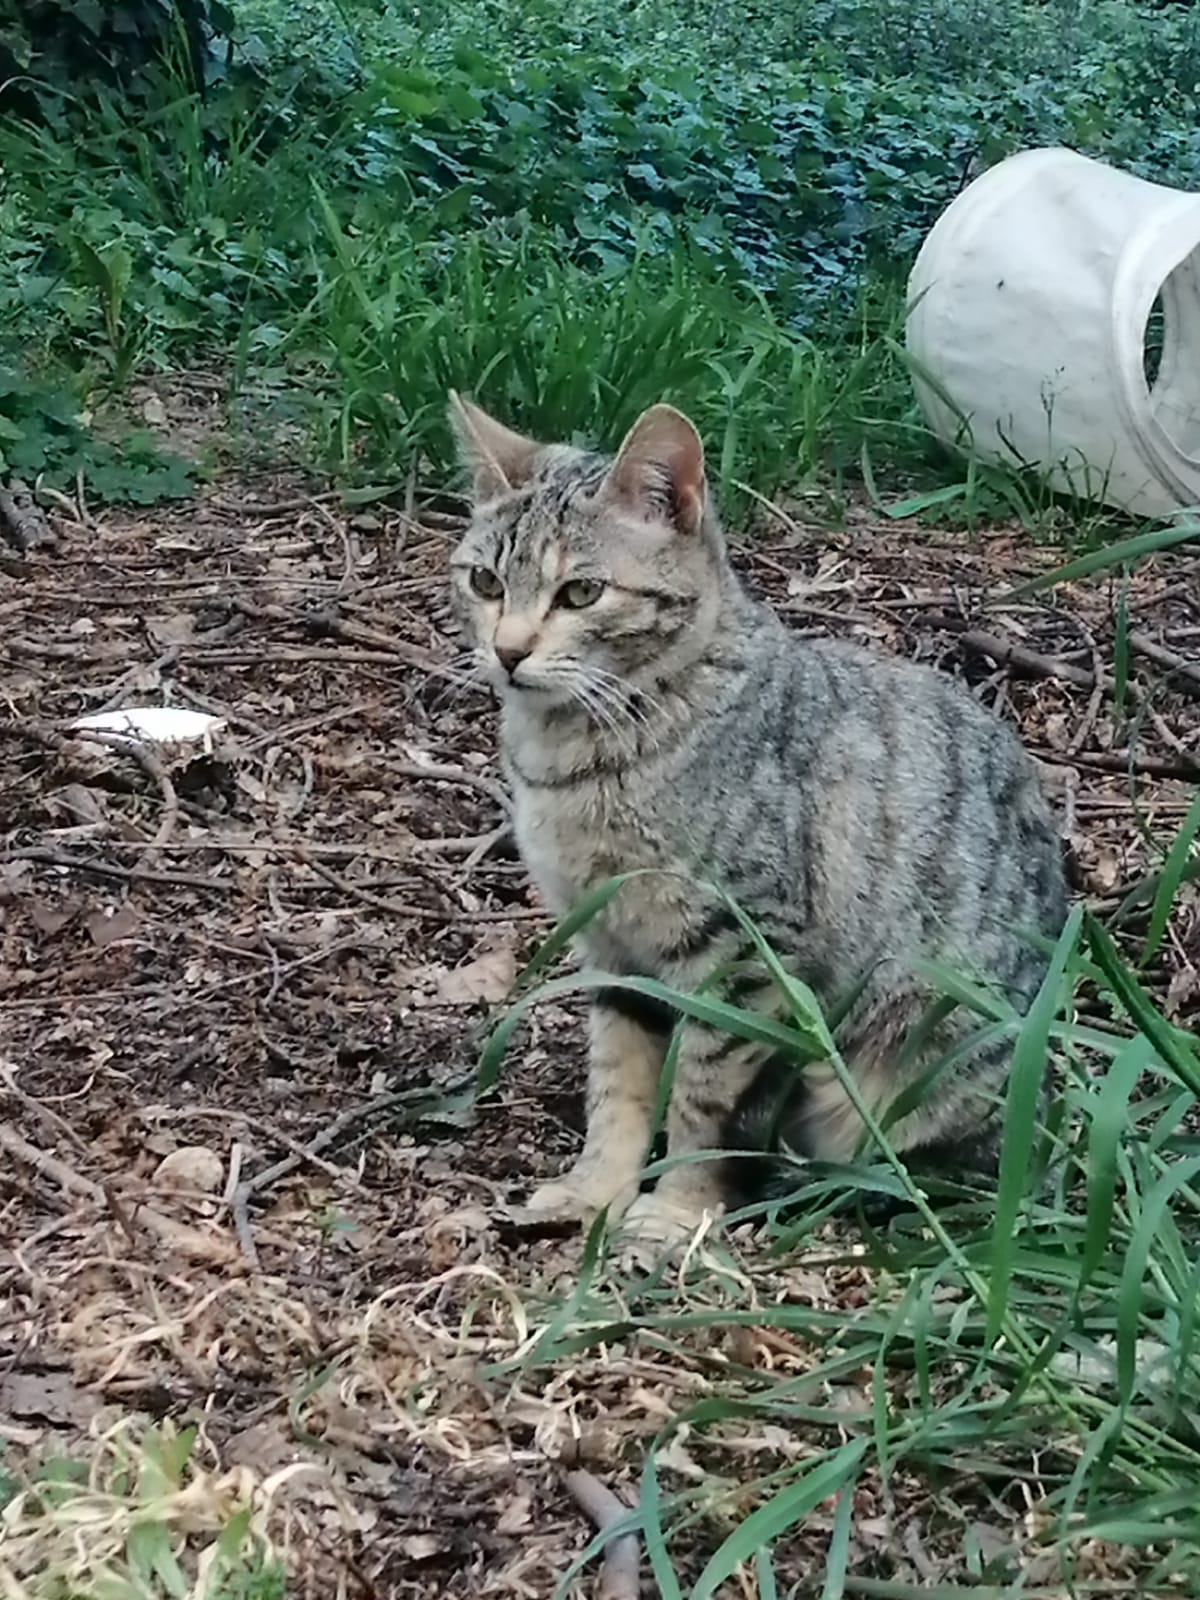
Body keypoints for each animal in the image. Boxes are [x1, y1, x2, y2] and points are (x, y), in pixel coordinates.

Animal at [448, 390, 1068, 1248]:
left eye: (580, 593)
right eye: (484, 582)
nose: (507, 652)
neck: (576, 758)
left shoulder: (744, 950)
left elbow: (704, 1097)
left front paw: (676, 1210)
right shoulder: (612, 948)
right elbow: (619, 1088)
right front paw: (594, 1192)